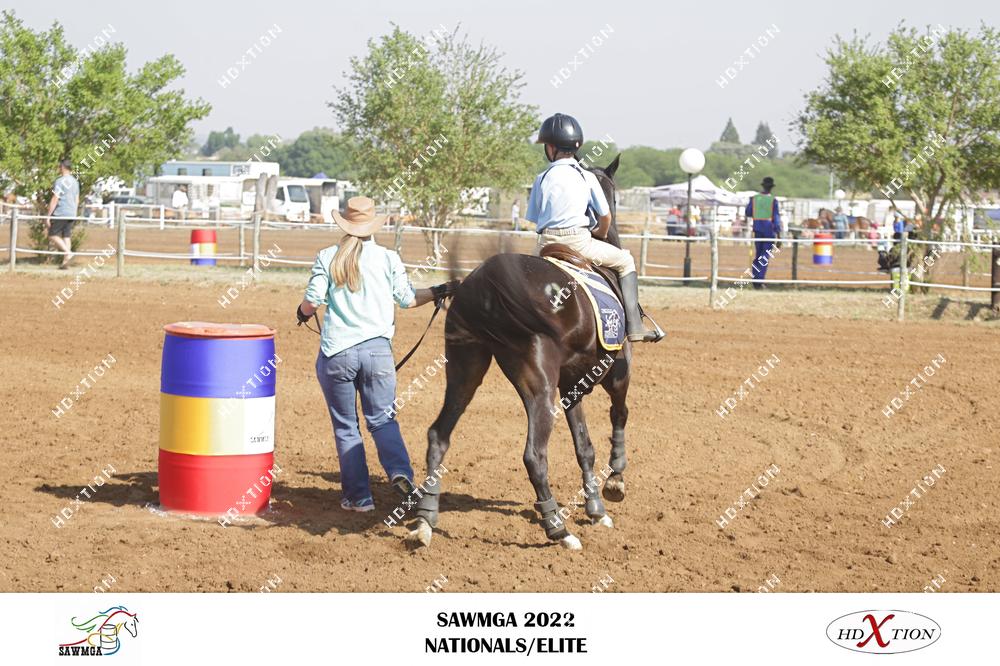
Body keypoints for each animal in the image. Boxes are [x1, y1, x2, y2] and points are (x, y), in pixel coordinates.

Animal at [407, 155, 634, 551]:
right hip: (537, 387)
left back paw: (425, 520)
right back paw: (558, 528)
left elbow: (584, 445)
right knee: (534, 455)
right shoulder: (616, 371)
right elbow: (618, 415)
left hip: (466, 370)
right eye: (614, 196)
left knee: (438, 435)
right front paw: (614, 482)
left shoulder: (572, 385)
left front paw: (595, 507)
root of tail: (485, 285)